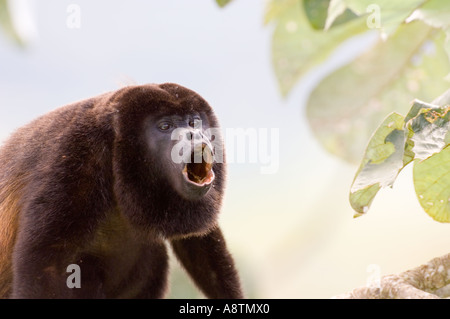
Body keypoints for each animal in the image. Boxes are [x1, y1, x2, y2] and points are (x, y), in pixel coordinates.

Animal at [0, 83, 243, 300]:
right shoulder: (74, 161)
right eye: (165, 126)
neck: (114, 142)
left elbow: (199, 242)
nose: (194, 134)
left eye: (194, 122)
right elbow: (43, 266)